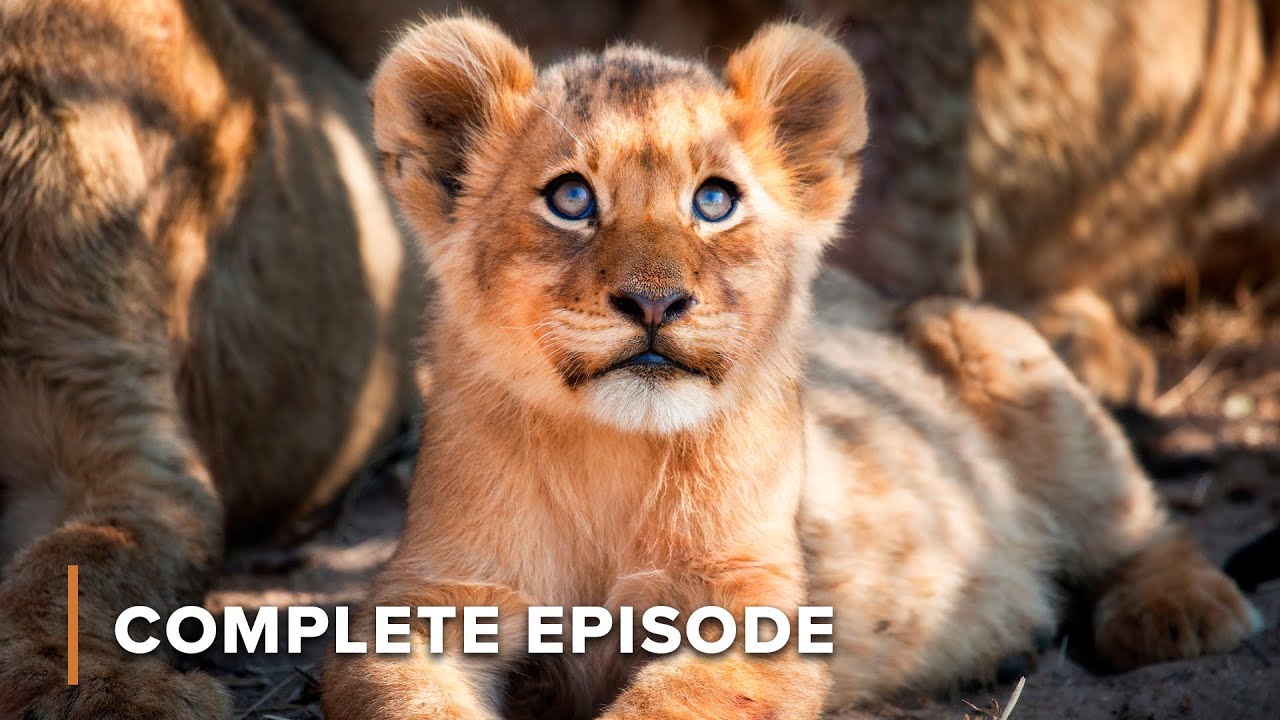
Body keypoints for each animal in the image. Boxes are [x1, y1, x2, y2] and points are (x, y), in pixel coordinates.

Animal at [323, 17, 1262, 720]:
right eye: (571, 198)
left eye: (714, 200)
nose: (656, 302)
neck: (609, 459)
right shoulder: (429, 596)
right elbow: (393, 694)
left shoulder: (758, 604)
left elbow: (674, 702)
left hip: (998, 348)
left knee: (1138, 523)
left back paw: (1179, 613)